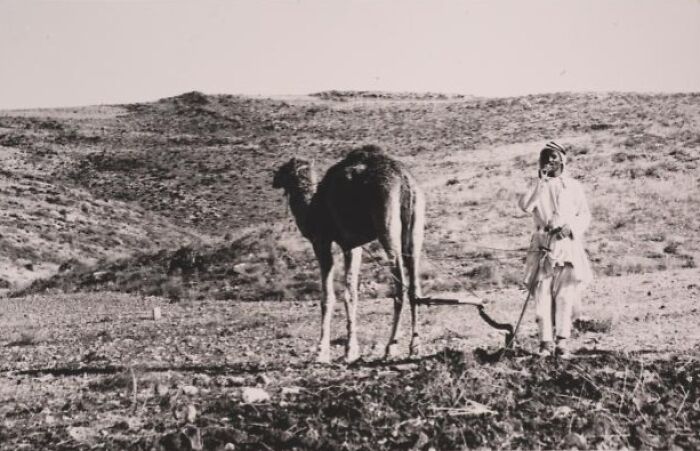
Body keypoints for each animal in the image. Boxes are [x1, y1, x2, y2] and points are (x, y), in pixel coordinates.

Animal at [272, 145, 425, 363]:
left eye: (284, 169)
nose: (273, 178)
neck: (312, 209)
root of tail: (405, 180)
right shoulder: (352, 245)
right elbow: (351, 294)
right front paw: (351, 350)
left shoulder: (321, 240)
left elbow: (327, 297)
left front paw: (321, 352)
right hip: (416, 224)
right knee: (414, 284)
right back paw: (415, 347)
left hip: (387, 221)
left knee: (399, 286)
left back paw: (390, 348)